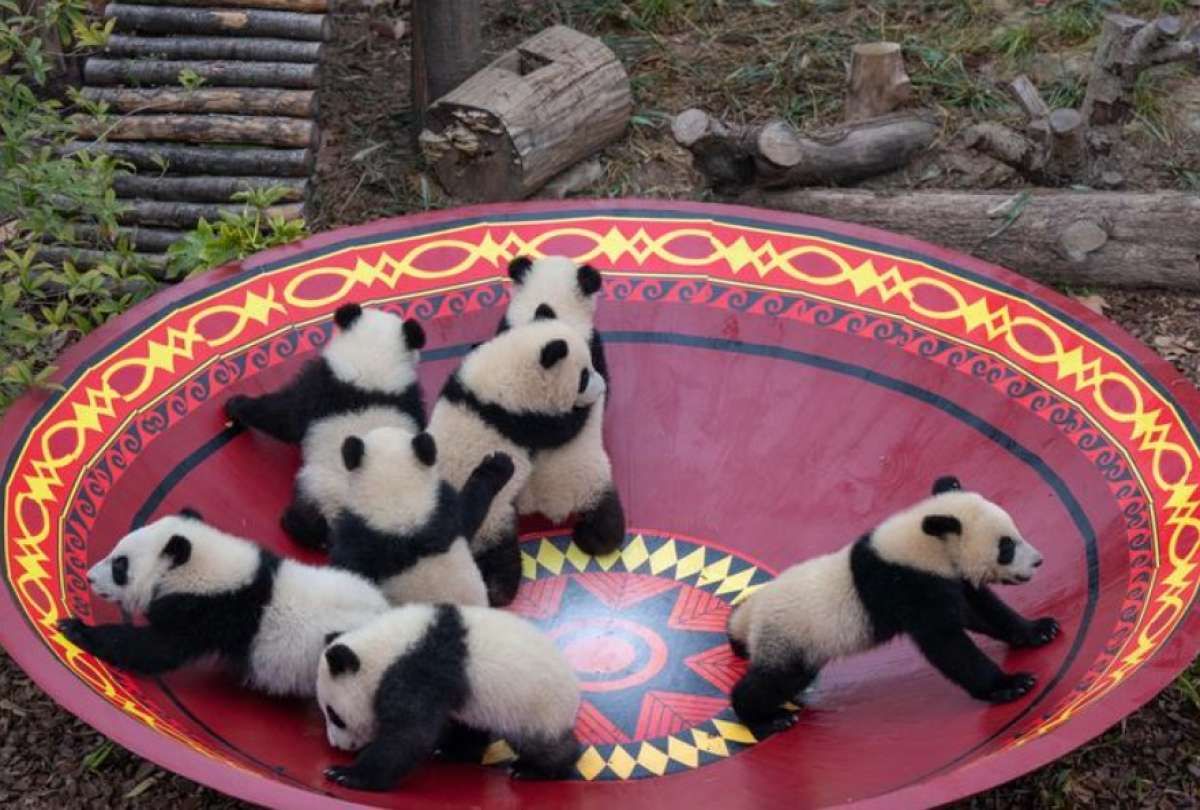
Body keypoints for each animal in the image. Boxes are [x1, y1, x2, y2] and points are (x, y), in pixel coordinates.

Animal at [225, 303, 426, 551]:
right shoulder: (410, 401)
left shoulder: (318, 387)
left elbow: (283, 415)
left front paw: (235, 406)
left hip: (318, 487)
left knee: (312, 519)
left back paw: (293, 523)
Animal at [317, 603, 581, 791]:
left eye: (335, 715)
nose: (337, 746)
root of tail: (574, 689)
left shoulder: (420, 670)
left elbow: (410, 735)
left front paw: (345, 774)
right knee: (471, 727)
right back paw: (452, 752)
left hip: (534, 705)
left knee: (540, 743)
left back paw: (536, 770)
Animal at [428, 319, 608, 607]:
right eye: (583, 378)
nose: (599, 384)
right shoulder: (519, 420)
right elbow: (562, 430)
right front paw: (582, 410)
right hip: (492, 520)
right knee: (501, 556)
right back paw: (501, 590)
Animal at [726, 475, 1061, 731]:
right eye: (1006, 546)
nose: (1038, 561)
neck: (924, 543)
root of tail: (752, 613)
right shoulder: (906, 584)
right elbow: (946, 643)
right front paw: (1011, 684)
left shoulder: (945, 576)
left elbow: (982, 611)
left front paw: (1039, 630)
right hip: (791, 634)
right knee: (774, 680)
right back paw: (765, 718)